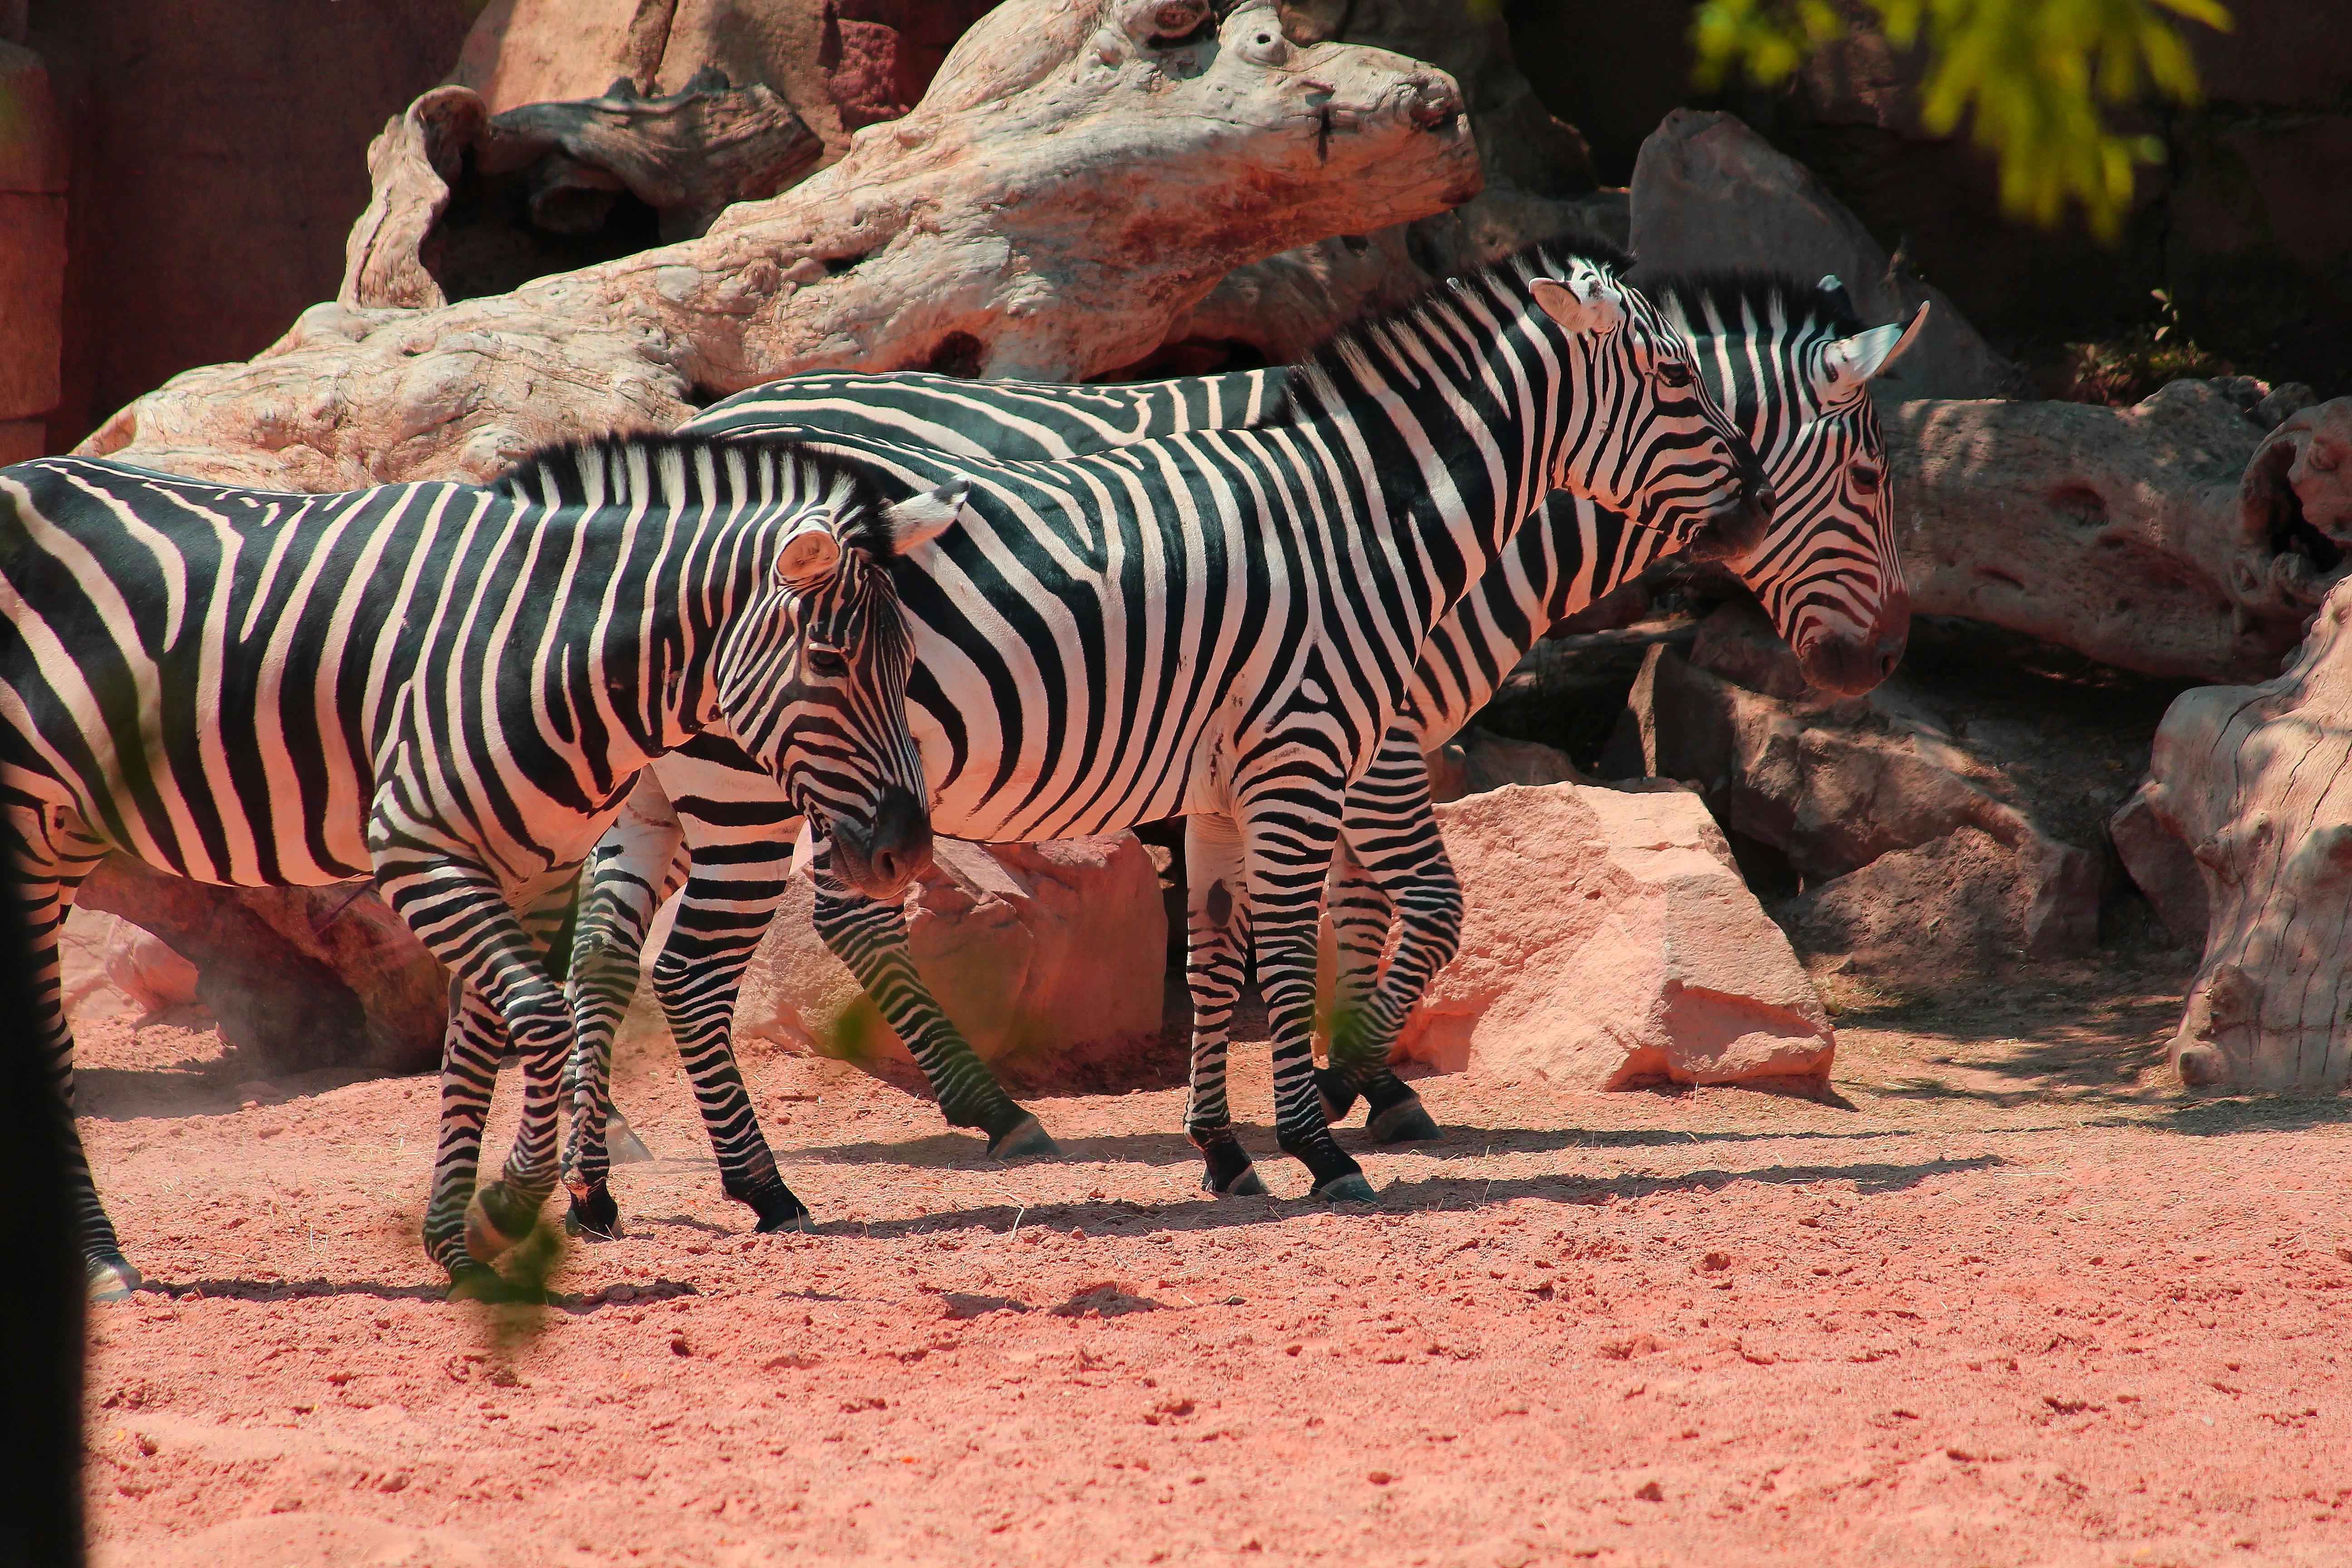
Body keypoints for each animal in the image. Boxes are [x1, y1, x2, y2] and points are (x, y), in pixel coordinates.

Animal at [0, 432, 960, 1298]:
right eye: (828, 661)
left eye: (912, 663)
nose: (907, 853)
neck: (544, 649)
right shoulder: (417, 848)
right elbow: (541, 1015)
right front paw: (505, 1210)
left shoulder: (529, 869)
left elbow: (478, 1040)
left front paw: (458, 1242)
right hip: (25, 823)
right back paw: (100, 1262)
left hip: (65, 832)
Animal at [559, 273, 1919, 1213]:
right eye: (1868, 479)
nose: (1878, 663)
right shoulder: (1351, 737)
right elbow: (1415, 907)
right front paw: (1343, 1093)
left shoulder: (1326, 746)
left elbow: (1305, 928)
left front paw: (1313, 1105)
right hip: (756, 783)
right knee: (745, 946)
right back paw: (935, 1127)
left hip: (665, 786)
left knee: (606, 945)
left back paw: (597, 1168)